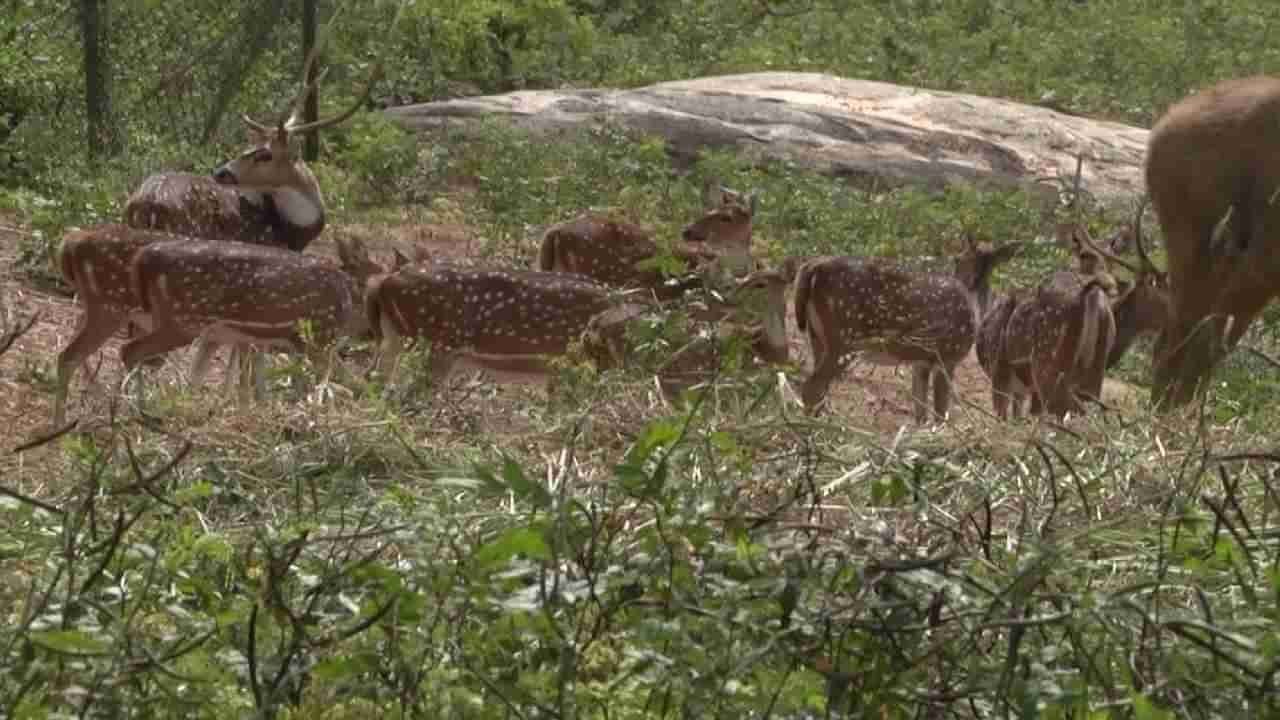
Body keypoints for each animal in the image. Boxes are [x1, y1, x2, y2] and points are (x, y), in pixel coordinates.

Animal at [788, 238, 1018, 420]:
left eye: (990, 261)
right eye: (957, 258)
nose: (972, 280)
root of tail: (812, 267)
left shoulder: (921, 361)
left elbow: (920, 411)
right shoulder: (948, 356)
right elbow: (940, 412)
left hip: (816, 335)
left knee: (818, 389)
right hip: (844, 337)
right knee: (812, 387)